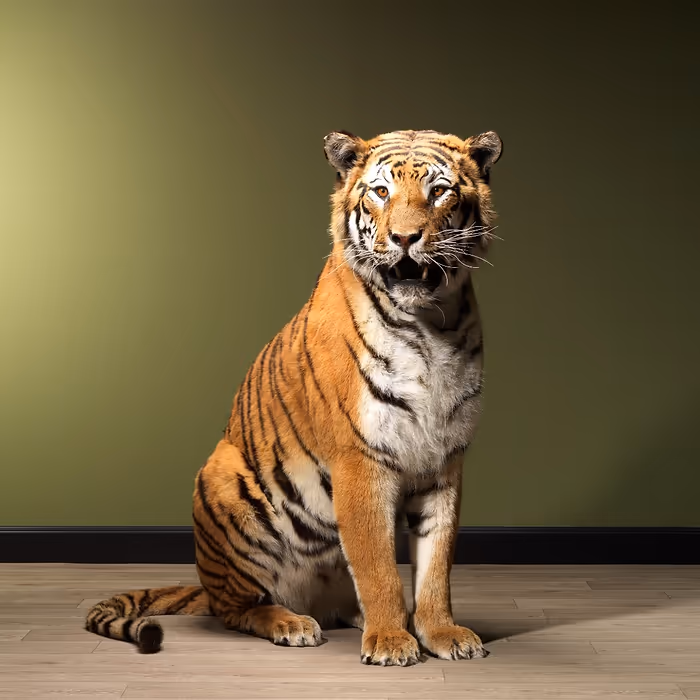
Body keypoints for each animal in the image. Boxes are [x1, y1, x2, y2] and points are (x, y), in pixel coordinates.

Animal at [85, 128, 503, 666]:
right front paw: (392, 642)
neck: (432, 327)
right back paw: (291, 623)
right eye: (381, 192)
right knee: (237, 608)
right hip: (221, 480)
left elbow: (435, 565)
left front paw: (441, 632)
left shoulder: (445, 461)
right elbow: (378, 567)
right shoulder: (359, 460)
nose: (405, 238)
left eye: (438, 192)